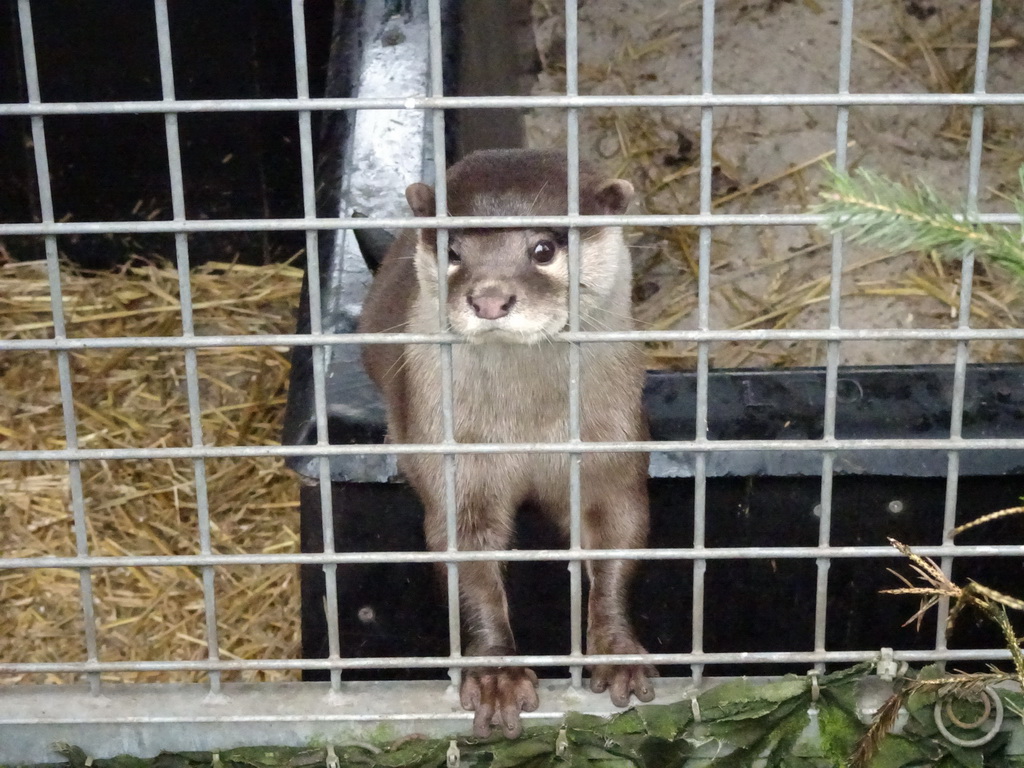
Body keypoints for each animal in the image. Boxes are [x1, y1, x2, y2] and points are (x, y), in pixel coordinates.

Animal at [356, 148, 651, 741]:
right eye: (453, 250)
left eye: (543, 249)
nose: (490, 298)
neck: (528, 427)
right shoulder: (458, 462)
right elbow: (468, 559)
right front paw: (496, 675)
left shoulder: (612, 444)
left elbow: (619, 534)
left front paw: (617, 652)